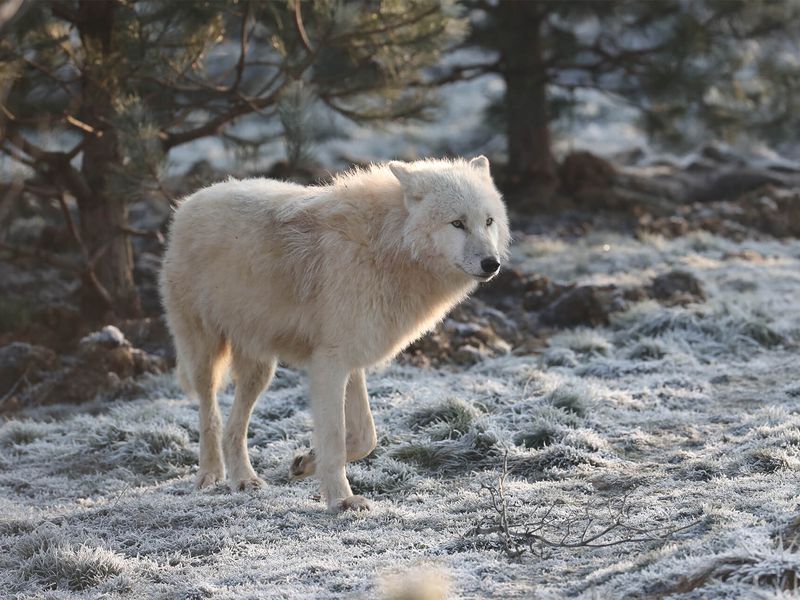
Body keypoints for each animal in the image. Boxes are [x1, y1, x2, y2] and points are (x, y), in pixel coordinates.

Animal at [159, 157, 510, 512]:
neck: (386, 244)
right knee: (210, 415)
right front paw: (341, 500)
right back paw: (210, 474)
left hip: (260, 370)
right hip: (203, 353)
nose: (491, 264)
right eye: (457, 223)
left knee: (234, 429)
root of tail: (189, 201)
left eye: (488, 221)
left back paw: (244, 479)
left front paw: (306, 463)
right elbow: (335, 438)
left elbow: (365, 437)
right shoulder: (329, 364)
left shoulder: (351, 360)